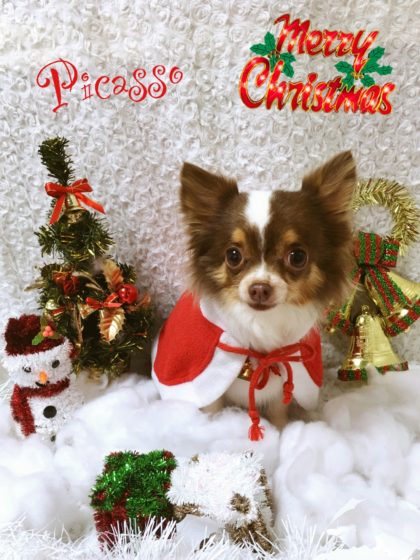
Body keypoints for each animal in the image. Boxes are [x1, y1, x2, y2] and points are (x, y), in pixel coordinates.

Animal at [152, 152, 356, 439]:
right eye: (233, 255)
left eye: (297, 256)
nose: (259, 288)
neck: (261, 328)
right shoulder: (208, 385)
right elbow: (211, 409)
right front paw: (208, 430)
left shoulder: (280, 390)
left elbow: (279, 413)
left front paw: (281, 434)